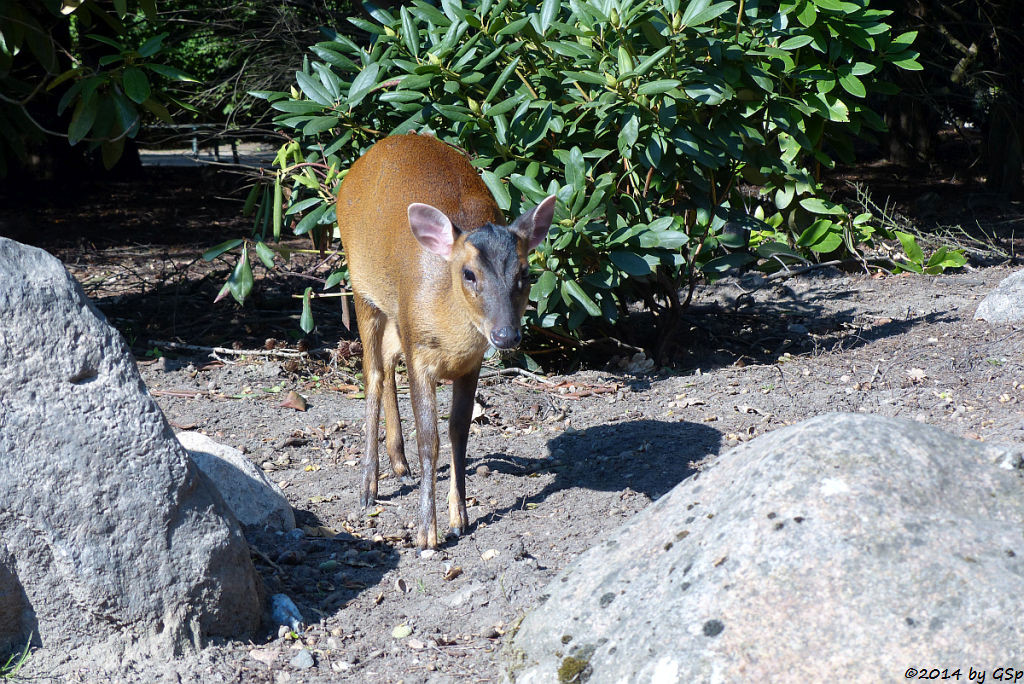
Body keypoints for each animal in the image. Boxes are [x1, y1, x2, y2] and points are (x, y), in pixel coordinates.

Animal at [335, 133, 557, 548]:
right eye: (468, 273)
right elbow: (430, 439)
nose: (506, 334)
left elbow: (459, 432)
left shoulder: (471, 363)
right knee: (372, 373)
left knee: (387, 359)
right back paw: (368, 486)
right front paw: (426, 533)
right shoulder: (420, 352)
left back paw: (399, 464)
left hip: (397, 315)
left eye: (525, 273)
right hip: (361, 286)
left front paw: (460, 519)